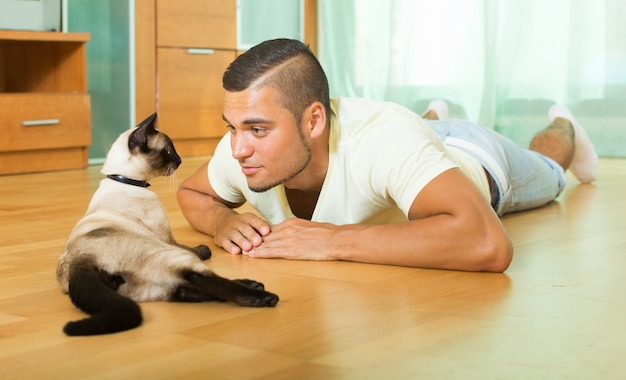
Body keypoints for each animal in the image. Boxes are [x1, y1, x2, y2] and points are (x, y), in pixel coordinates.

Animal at [58, 113, 278, 336]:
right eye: (170, 151)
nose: (180, 160)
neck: (124, 180)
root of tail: (81, 261)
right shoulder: (169, 241)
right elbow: (203, 250)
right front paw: (206, 249)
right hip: (172, 258)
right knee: (206, 280)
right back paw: (264, 296)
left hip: (159, 287)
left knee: (194, 290)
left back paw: (254, 285)